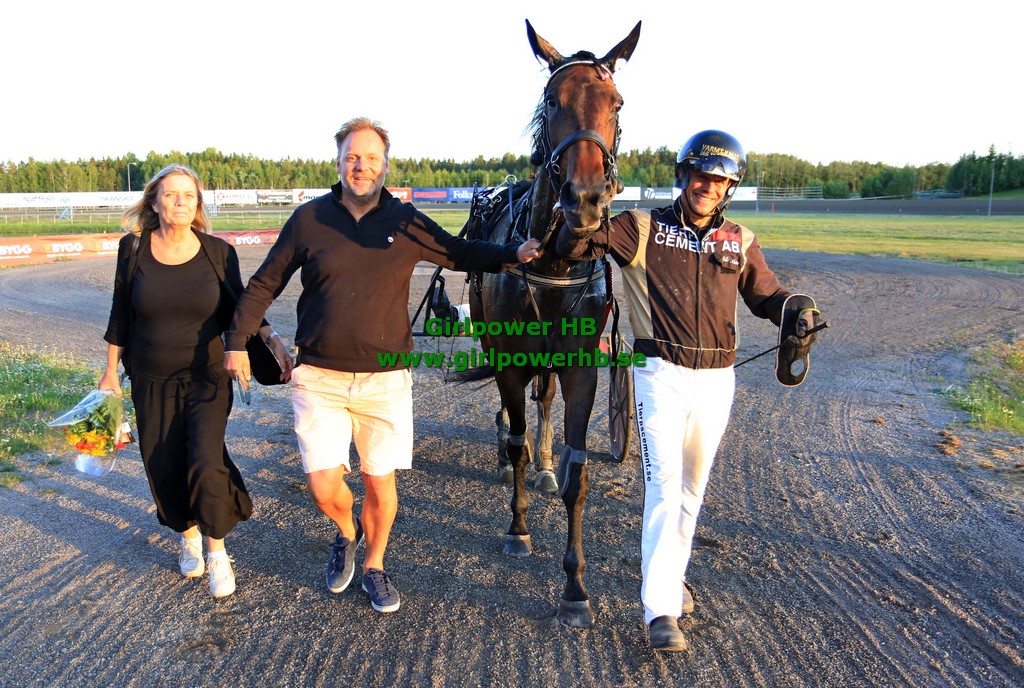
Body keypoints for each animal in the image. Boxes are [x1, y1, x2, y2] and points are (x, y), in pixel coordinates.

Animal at [461, 19, 640, 628]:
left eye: (617, 102)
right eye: (552, 99)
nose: (585, 200)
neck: (556, 262)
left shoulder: (581, 366)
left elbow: (576, 471)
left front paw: (575, 585)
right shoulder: (511, 358)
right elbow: (514, 434)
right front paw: (517, 527)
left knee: (544, 403)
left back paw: (541, 463)